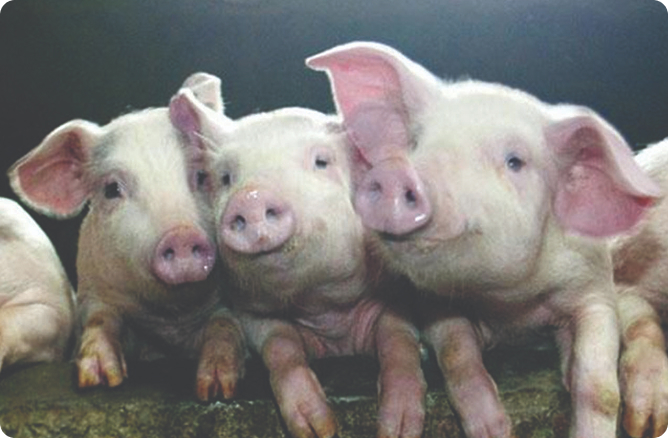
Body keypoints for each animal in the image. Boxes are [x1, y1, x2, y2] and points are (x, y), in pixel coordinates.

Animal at [8, 75, 245, 401]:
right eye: (111, 189)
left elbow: (224, 324)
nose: (181, 235)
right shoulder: (94, 290)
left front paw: (216, 389)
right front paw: (97, 379)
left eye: (201, 175)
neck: (168, 322)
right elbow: (100, 319)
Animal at [168, 76, 427, 438]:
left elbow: (397, 341)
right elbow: (282, 348)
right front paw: (318, 426)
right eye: (226, 177)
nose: (251, 196)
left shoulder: (395, 295)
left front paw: (398, 427)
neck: (324, 309)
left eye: (322, 161)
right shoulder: (252, 312)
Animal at [306, 41, 661, 438]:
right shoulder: (434, 305)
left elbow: (598, 385)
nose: (399, 175)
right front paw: (495, 429)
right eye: (416, 142)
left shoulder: (593, 288)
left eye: (515, 161)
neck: (513, 306)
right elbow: (458, 357)